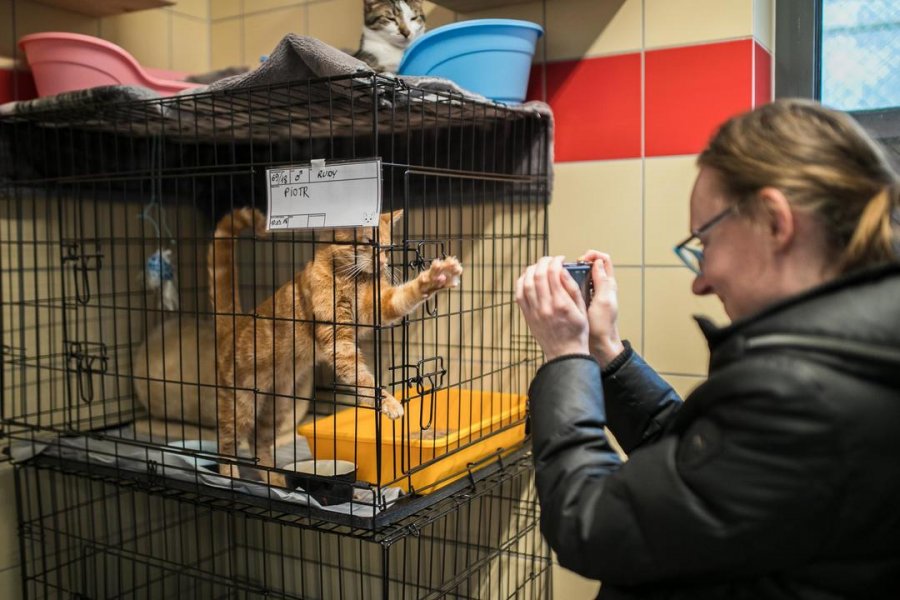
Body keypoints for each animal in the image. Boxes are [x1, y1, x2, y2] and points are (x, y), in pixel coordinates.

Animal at [209, 207, 464, 488]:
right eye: (369, 243)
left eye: (387, 248)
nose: (383, 264)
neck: (347, 277)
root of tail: (233, 325)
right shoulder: (338, 340)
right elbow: (362, 378)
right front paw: (388, 403)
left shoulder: (375, 306)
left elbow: (405, 296)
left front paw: (434, 279)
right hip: (240, 402)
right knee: (227, 441)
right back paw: (229, 478)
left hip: (278, 405)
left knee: (258, 441)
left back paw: (273, 479)